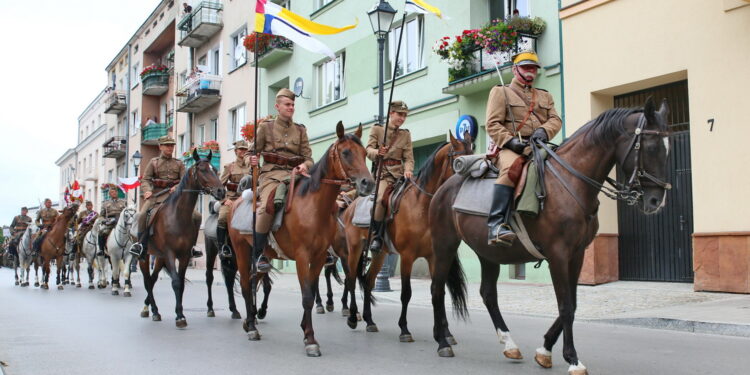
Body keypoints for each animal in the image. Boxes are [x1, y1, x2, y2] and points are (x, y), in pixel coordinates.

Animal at [137, 150, 226, 328]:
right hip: (145, 256)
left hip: (159, 257)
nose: (221, 191)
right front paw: (179, 316)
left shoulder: (184, 255)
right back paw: (152, 310)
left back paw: (152, 309)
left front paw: (180, 313)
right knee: (147, 280)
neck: (178, 215)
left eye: (215, 170)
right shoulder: (170, 253)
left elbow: (181, 284)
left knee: (153, 279)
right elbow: (176, 282)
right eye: (203, 170)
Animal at [226, 123, 374, 358]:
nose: (367, 183)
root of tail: (236, 202)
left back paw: (251, 321)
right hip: (241, 249)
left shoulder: (320, 256)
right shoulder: (303, 257)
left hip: (265, 254)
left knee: (254, 280)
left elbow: (312, 292)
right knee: (245, 284)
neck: (314, 206)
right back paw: (251, 327)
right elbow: (306, 296)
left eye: (364, 153)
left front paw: (306, 330)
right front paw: (311, 339)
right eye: (345, 153)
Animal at [342, 131, 476, 340]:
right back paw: (353, 318)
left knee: (369, 281)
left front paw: (444, 332)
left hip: (380, 254)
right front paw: (404, 329)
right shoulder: (407, 256)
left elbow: (437, 292)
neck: (422, 204)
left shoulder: (433, 257)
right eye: (459, 161)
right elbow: (406, 293)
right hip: (355, 249)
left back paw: (370, 321)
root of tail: (350, 207)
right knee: (350, 279)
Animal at [432, 98, 672, 374]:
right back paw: (442, 342)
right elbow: (565, 306)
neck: (570, 182)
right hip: (444, 246)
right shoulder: (558, 255)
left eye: (668, 148)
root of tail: (444, 187)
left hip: (488, 252)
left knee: (488, 294)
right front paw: (573, 359)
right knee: (437, 288)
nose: (656, 201)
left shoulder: (577, 255)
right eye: (651, 147)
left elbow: (573, 303)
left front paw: (545, 350)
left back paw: (509, 344)